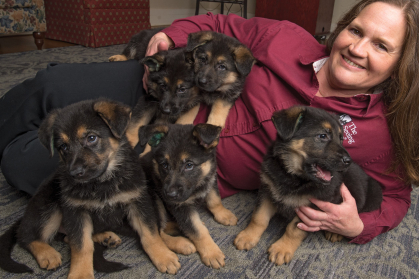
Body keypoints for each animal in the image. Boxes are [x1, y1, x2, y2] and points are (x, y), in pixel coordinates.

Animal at [0, 99, 182, 276]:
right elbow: (82, 246)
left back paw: (105, 237)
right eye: (63, 147)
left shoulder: (137, 201)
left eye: (91, 138)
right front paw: (81, 273)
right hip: (50, 206)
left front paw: (163, 256)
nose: (75, 173)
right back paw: (47, 253)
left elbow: (150, 233)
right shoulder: (76, 210)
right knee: (26, 237)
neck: (102, 182)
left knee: (66, 237)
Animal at [140, 124, 238, 270]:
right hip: (154, 200)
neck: (196, 187)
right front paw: (211, 252)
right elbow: (198, 231)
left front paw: (223, 214)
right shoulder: (180, 206)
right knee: (156, 233)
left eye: (189, 165)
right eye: (164, 165)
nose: (170, 195)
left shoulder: (209, 179)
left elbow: (214, 200)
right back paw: (182, 244)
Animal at [235, 106, 382, 266]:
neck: (293, 176)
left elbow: (293, 230)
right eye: (323, 136)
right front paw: (248, 236)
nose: (348, 161)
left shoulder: (311, 208)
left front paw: (282, 249)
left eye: (341, 138)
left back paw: (334, 232)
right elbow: (259, 217)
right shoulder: (267, 191)